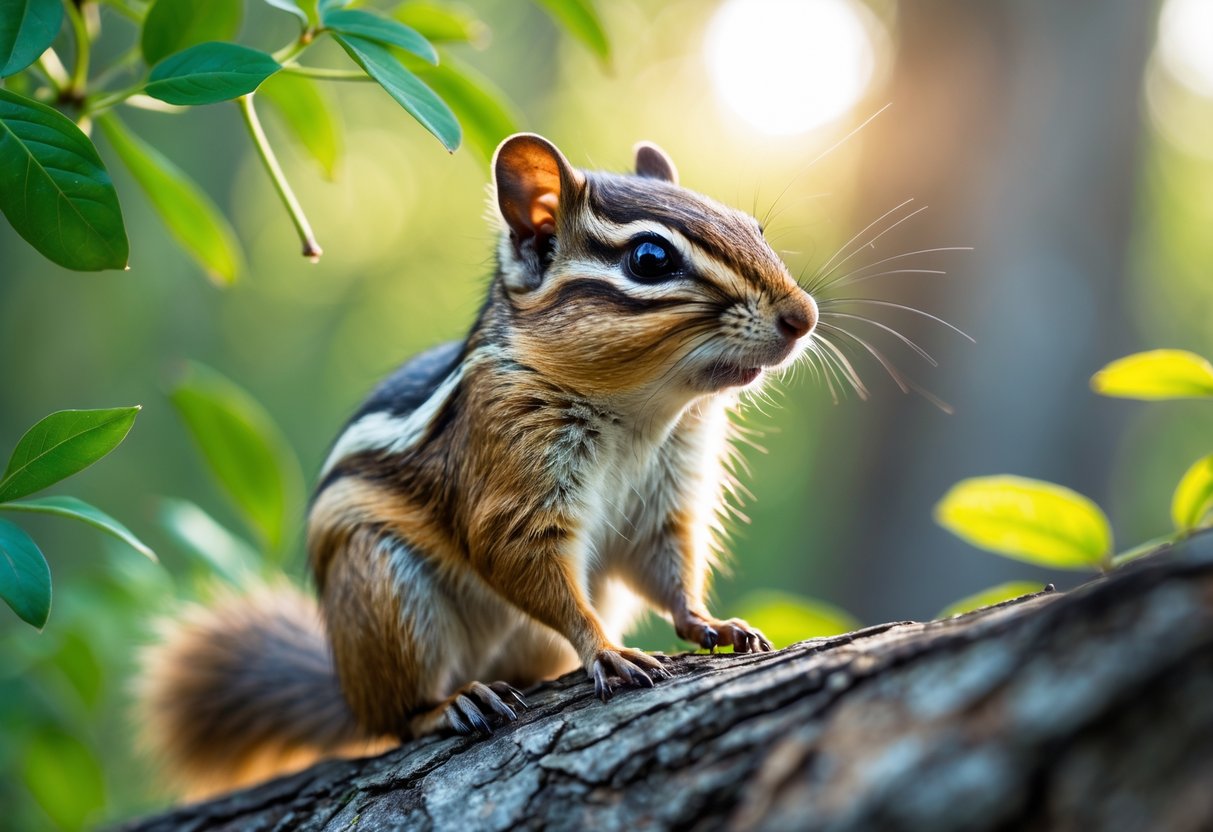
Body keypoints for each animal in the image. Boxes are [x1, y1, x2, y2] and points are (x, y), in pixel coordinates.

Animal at [139, 133, 819, 797]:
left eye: (753, 227)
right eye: (650, 259)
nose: (803, 316)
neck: (642, 414)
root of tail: (347, 690)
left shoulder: (667, 497)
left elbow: (667, 568)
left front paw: (712, 623)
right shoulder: (508, 467)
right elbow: (514, 556)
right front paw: (605, 649)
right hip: (383, 590)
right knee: (396, 719)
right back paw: (452, 704)